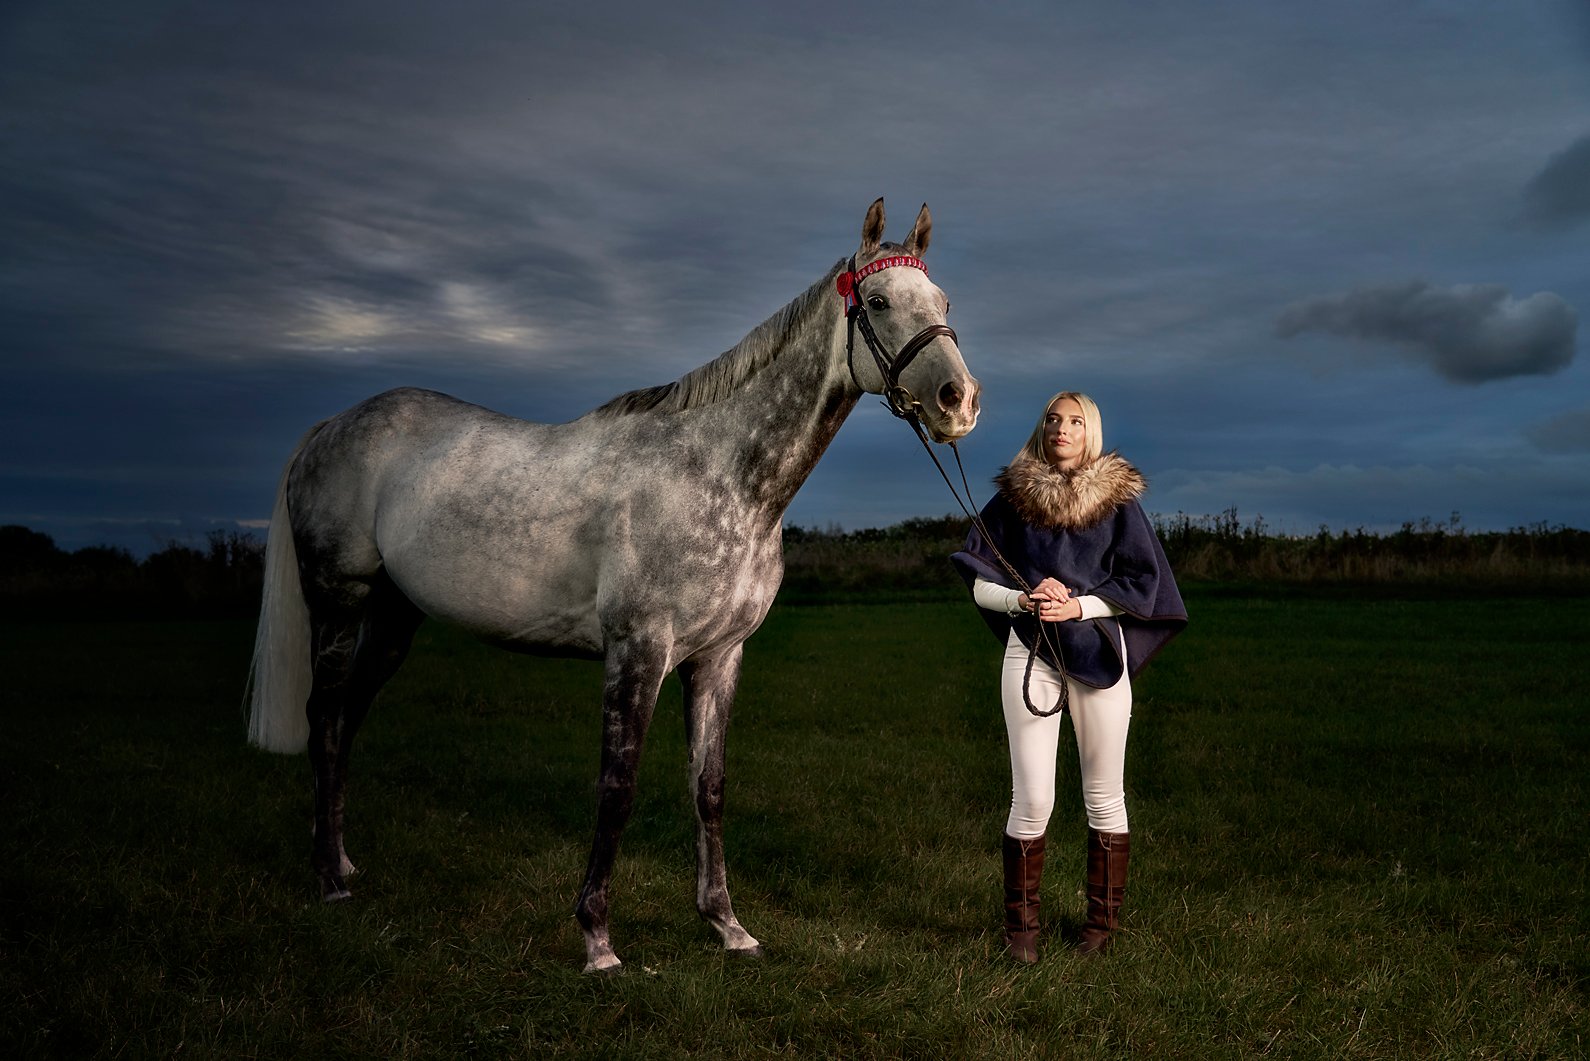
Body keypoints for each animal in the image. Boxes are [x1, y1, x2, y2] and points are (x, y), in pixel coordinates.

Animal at [246, 198, 980, 973]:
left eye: (943, 302)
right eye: (879, 301)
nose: (958, 401)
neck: (723, 477)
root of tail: (332, 425)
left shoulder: (718, 657)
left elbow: (708, 788)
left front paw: (727, 925)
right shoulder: (638, 650)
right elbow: (617, 787)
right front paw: (597, 937)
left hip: (393, 618)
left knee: (348, 718)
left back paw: (343, 860)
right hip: (338, 600)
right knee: (325, 718)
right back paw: (328, 879)